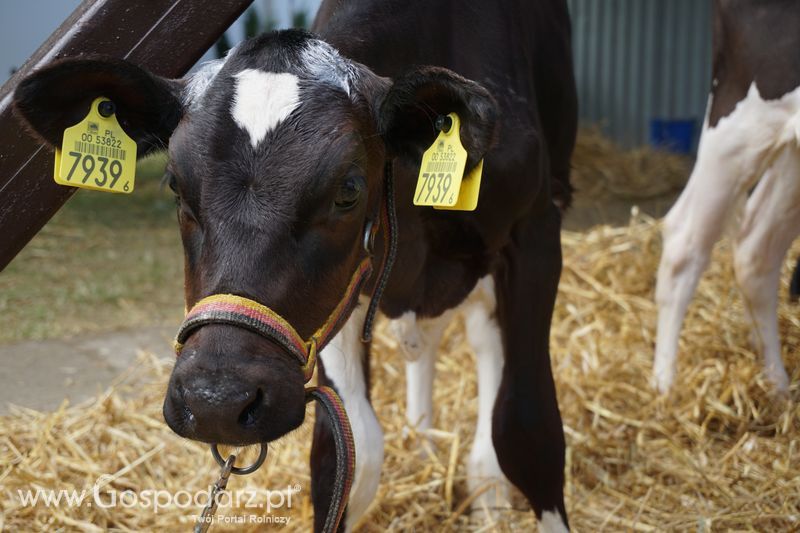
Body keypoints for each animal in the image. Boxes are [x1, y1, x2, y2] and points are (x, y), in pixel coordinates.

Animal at [12, 0, 576, 528]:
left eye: (348, 190)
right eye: (175, 184)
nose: (216, 399)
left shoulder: (536, 234)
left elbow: (528, 432)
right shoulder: (345, 296)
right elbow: (349, 456)